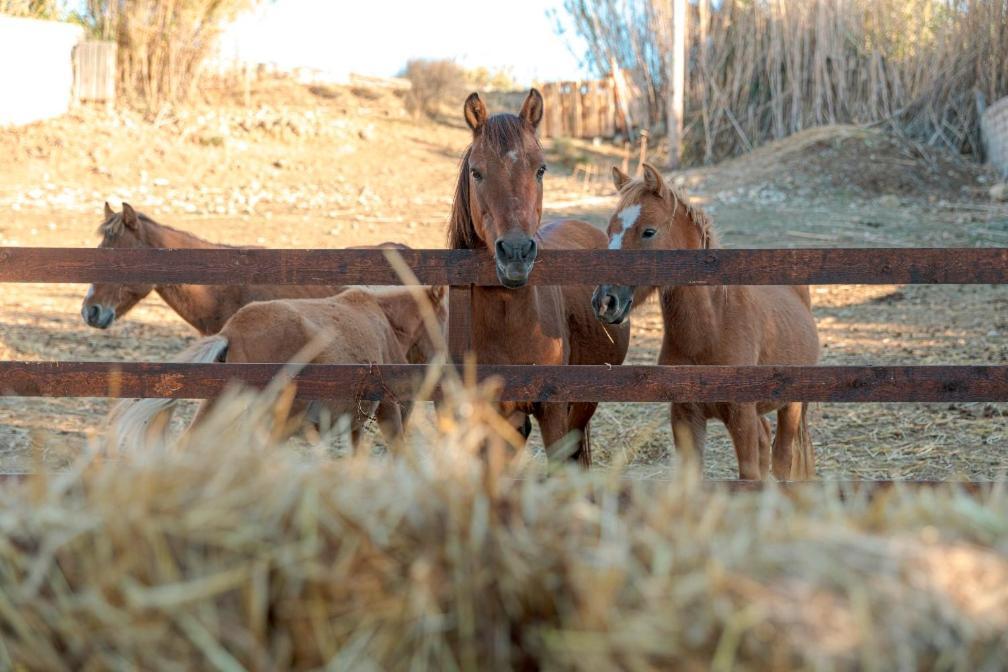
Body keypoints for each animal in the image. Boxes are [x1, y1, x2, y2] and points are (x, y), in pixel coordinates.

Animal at [588, 163, 818, 481]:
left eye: (648, 232)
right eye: (610, 232)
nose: (605, 301)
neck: (712, 330)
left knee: (782, 457)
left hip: (791, 407)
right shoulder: (686, 416)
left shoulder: (741, 417)